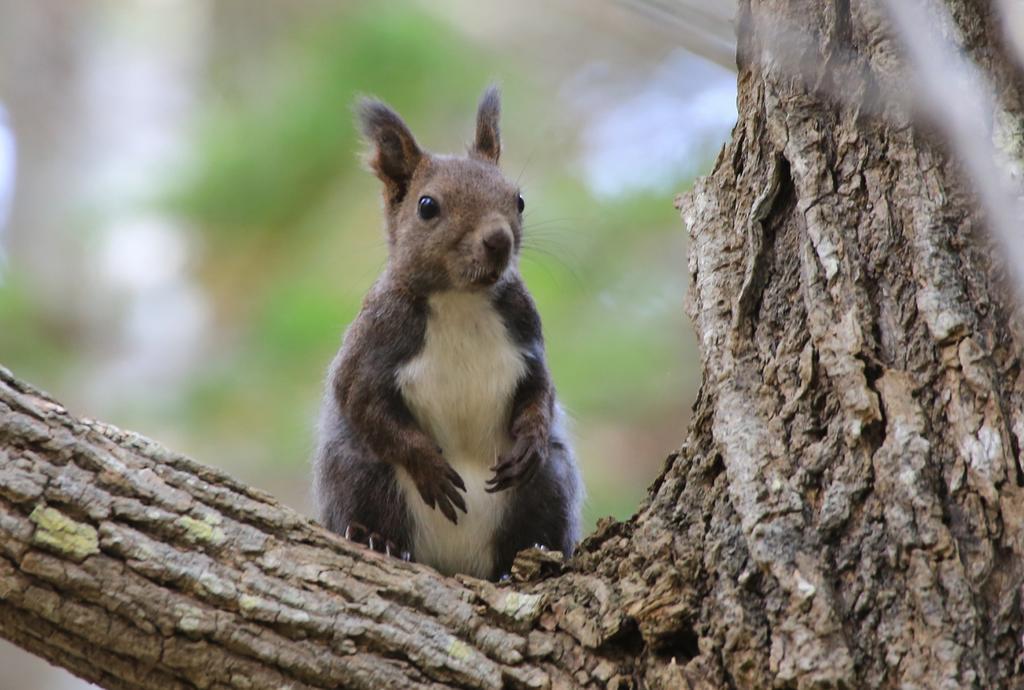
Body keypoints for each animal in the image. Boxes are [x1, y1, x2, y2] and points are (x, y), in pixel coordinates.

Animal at [311, 85, 585, 581]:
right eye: (427, 206)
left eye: (518, 199)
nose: (498, 240)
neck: (461, 299)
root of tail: (457, 560)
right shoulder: (374, 340)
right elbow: (361, 401)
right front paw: (428, 465)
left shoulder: (527, 332)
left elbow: (541, 390)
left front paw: (529, 440)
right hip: (356, 471)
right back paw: (376, 538)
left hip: (550, 482)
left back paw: (529, 554)